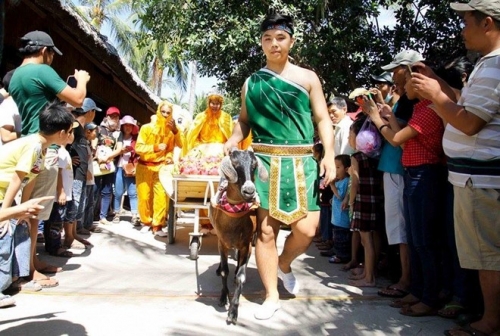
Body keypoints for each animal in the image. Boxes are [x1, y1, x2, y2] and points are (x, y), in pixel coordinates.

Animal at [208, 148, 268, 324]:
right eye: (235, 165)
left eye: (254, 165)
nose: (249, 190)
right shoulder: (222, 242)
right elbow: (224, 272)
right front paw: (223, 298)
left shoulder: (246, 245)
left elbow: (240, 277)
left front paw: (233, 312)